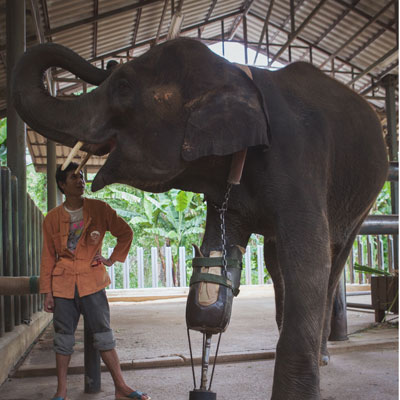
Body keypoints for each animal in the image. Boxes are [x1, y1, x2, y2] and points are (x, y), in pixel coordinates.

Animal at [11, 38, 388, 400]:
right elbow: (220, 253)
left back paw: (322, 355)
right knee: (275, 261)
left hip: (362, 197)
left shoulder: (299, 159)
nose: (111, 61)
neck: (237, 73)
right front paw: (207, 322)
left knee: (332, 260)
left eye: (122, 87)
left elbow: (308, 261)